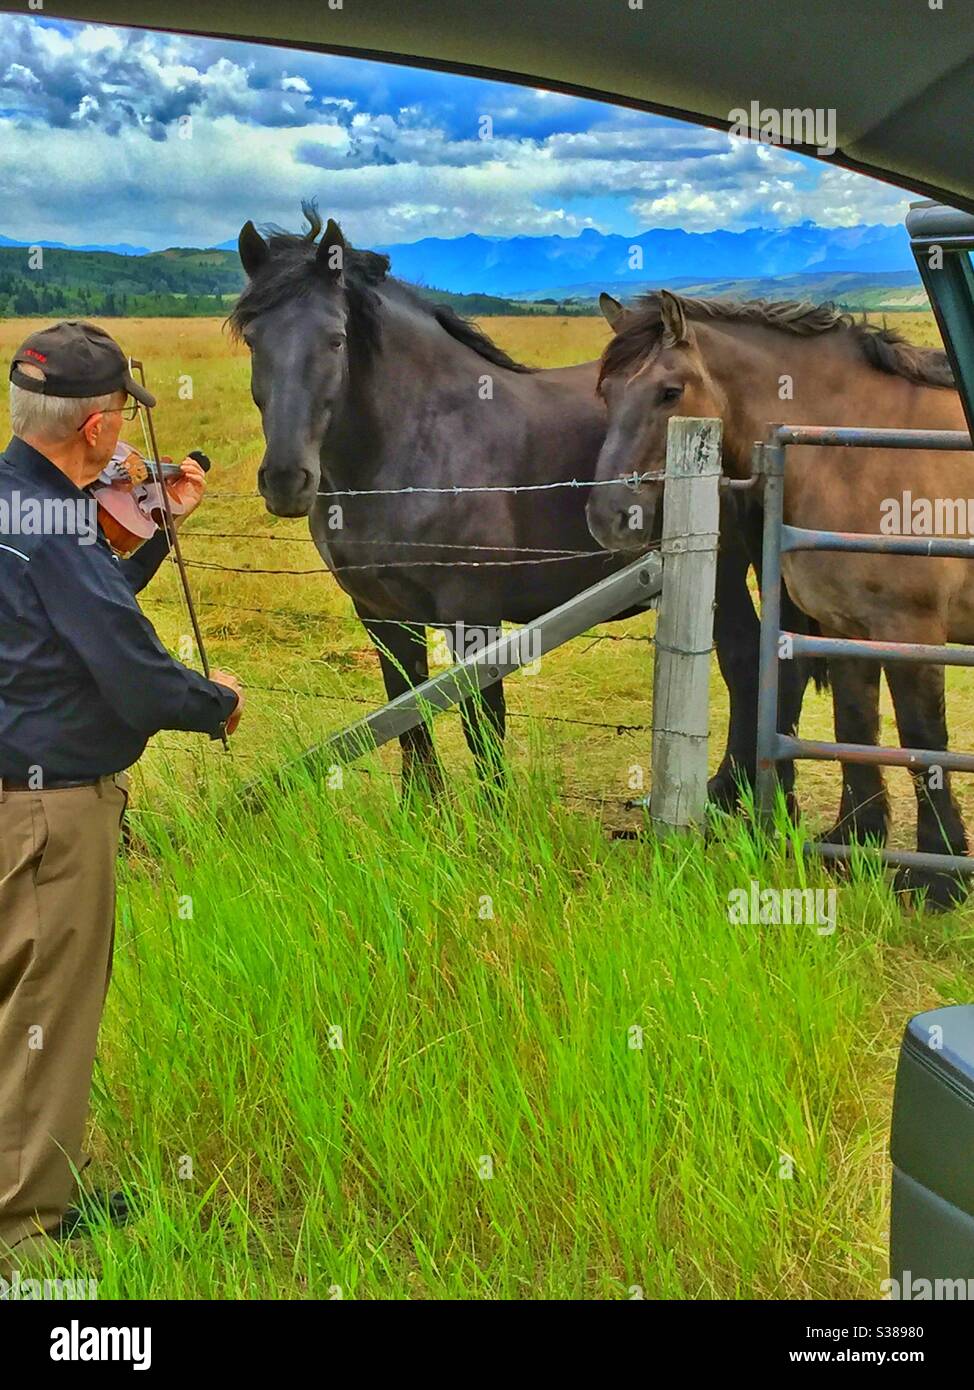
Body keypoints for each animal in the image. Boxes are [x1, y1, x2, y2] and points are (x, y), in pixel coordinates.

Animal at [227, 202, 793, 805]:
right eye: (253, 340)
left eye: (335, 340)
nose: (286, 479)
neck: (421, 441)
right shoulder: (379, 613)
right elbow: (406, 713)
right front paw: (422, 809)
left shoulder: (472, 613)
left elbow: (482, 720)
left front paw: (494, 815)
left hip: (724, 569)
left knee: (745, 659)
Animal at [585, 287, 973, 905]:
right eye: (607, 392)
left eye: (670, 392)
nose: (607, 517)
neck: (859, 449)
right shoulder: (843, 626)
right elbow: (853, 725)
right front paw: (854, 841)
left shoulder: (909, 631)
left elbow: (925, 740)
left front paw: (938, 875)